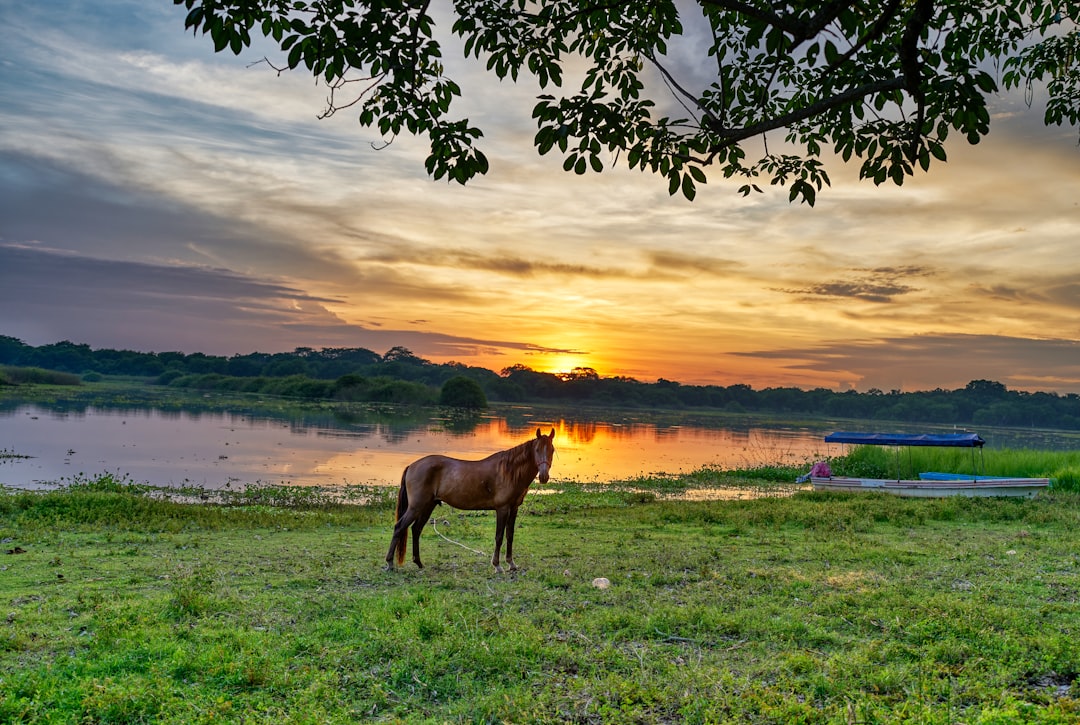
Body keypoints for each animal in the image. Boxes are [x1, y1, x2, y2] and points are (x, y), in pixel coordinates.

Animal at [386, 425, 557, 574]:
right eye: (537, 450)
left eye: (552, 450)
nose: (544, 476)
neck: (509, 471)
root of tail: (412, 466)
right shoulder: (502, 508)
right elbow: (499, 536)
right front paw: (497, 566)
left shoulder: (514, 508)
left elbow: (510, 535)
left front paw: (511, 564)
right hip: (416, 506)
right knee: (399, 527)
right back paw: (389, 563)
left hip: (428, 506)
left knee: (416, 529)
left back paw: (419, 563)